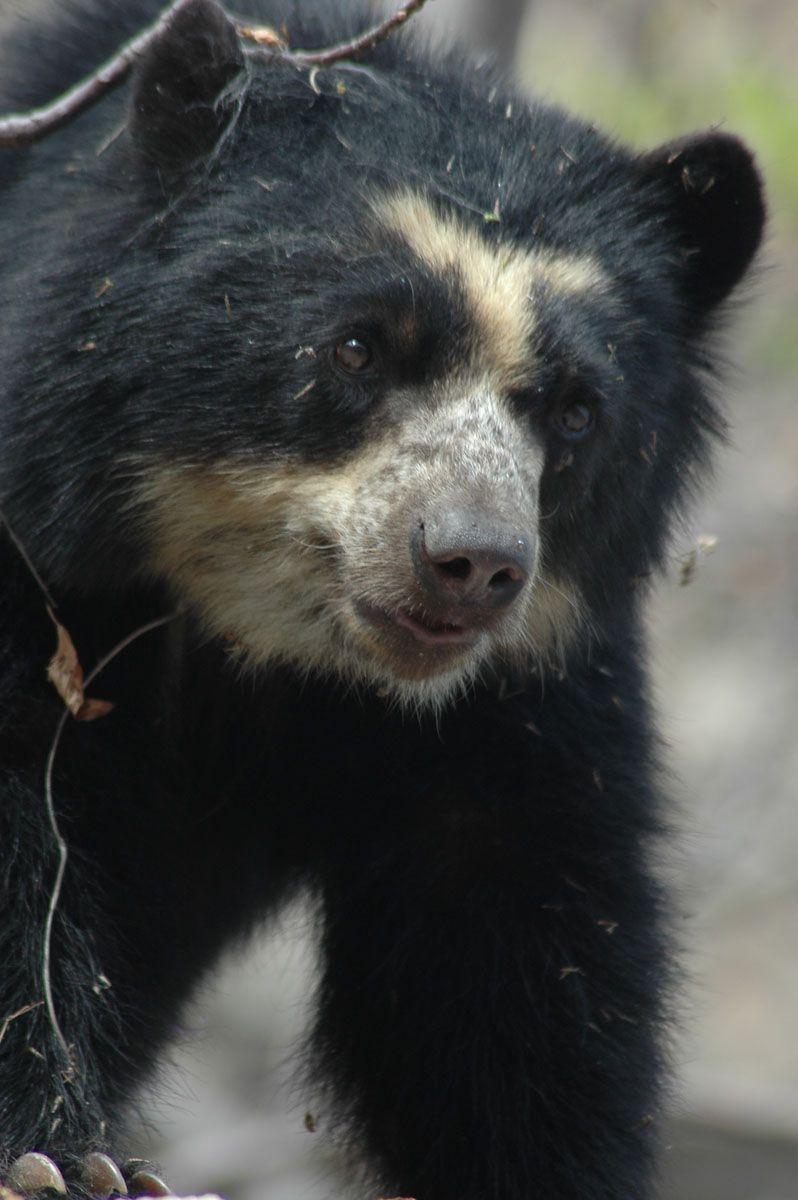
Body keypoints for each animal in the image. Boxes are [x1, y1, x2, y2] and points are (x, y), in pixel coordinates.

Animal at [0, 2, 763, 1200]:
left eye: (577, 410)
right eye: (359, 347)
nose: (472, 564)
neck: (261, 645)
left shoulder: (521, 698)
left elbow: (510, 966)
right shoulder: (45, 565)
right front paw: (58, 1160)